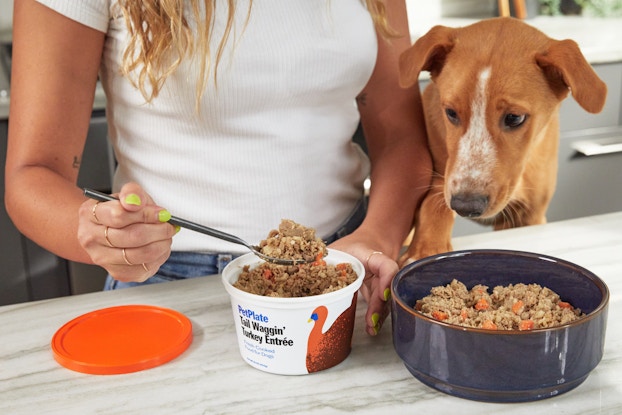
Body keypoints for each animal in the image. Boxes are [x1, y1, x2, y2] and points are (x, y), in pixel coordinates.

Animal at [400, 17, 608, 264]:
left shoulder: (529, 216)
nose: (465, 206)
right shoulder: (440, 181)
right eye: (450, 112)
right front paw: (425, 250)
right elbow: (434, 205)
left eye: (514, 118)